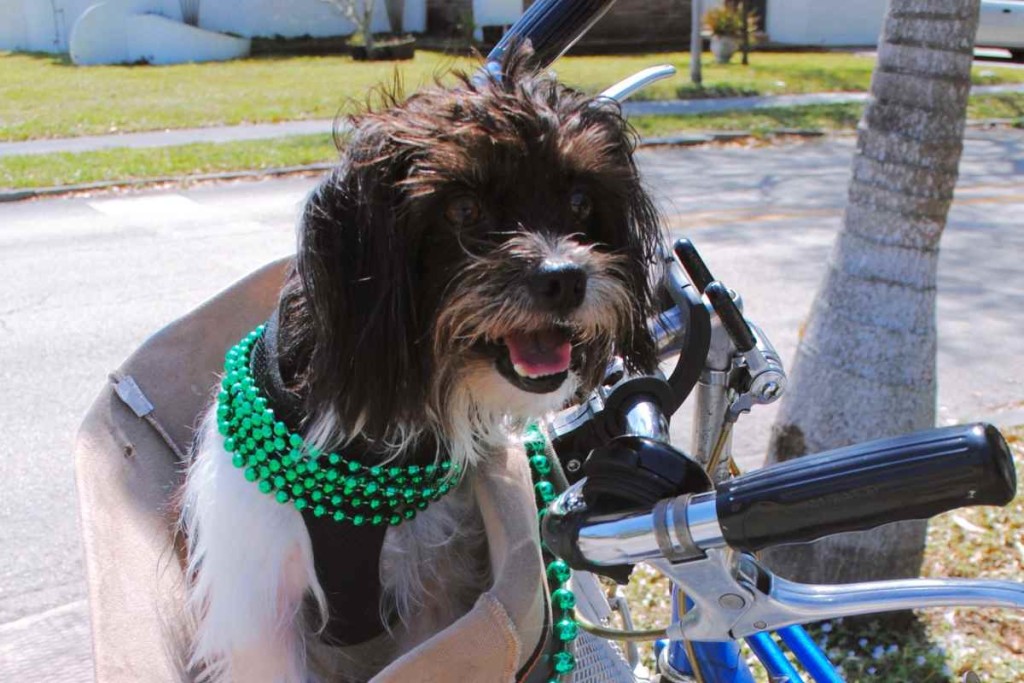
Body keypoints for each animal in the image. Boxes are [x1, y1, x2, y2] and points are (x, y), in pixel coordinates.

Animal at [179, 50, 659, 679]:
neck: (374, 420)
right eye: (462, 208)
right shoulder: (263, 613)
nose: (565, 278)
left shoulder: (434, 606)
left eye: (580, 201)